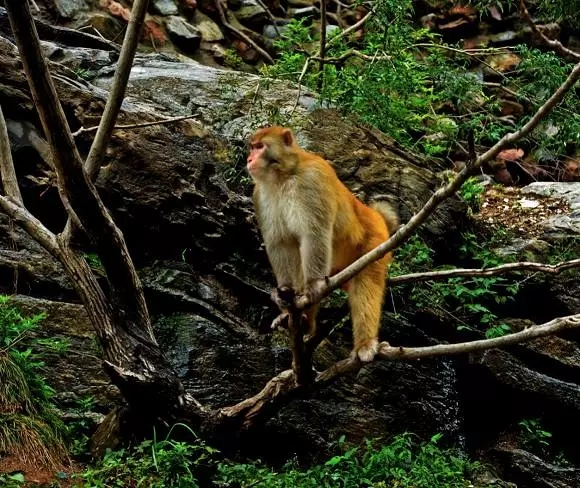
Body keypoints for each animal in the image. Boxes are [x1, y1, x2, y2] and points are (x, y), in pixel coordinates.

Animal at [245, 126, 398, 362]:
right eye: (252, 147)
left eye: (260, 146)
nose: (249, 158)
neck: (282, 176)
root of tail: (376, 215)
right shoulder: (260, 195)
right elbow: (280, 244)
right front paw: (283, 298)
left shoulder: (312, 181)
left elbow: (314, 234)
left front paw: (314, 285)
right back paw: (305, 321)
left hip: (374, 244)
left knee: (365, 284)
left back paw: (364, 344)